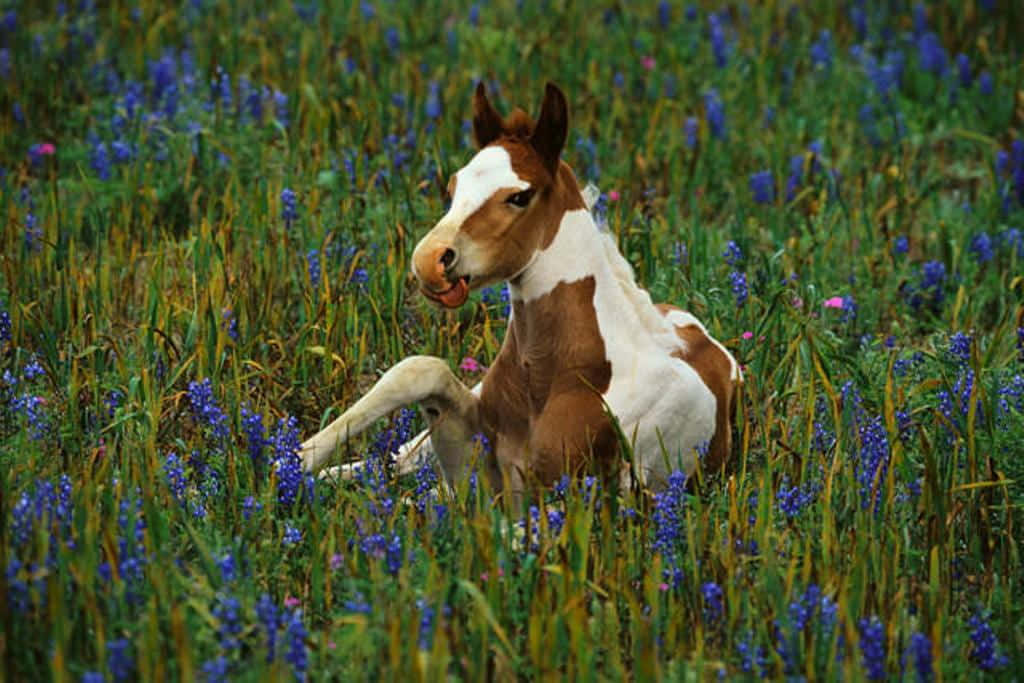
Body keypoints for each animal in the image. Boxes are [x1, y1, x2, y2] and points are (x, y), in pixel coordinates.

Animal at [301, 82, 741, 499]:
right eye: (453, 186)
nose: (429, 261)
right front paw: (297, 456)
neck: (559, 374)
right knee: (392, 460)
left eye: (519, 196)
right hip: (427, 442)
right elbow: (420, 369)